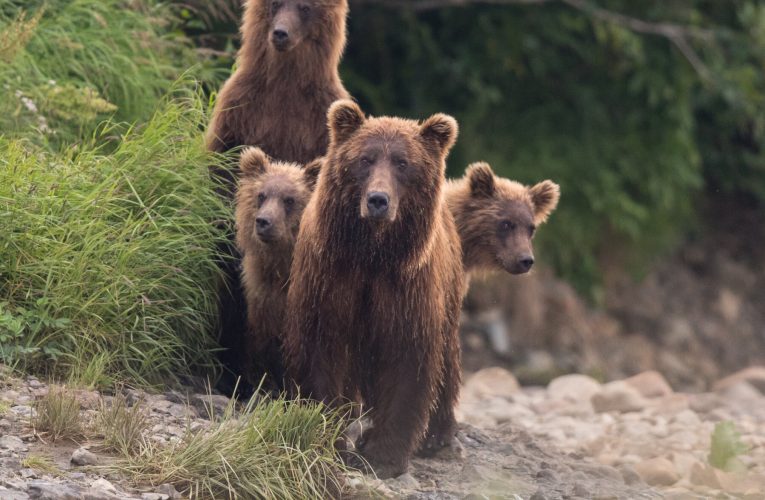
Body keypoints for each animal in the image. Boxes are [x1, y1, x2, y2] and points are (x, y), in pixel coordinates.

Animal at [284, 100, 465, 479]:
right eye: (365, 159)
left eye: (403, 163)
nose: (378, 200)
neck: (372, 253)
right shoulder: (331, 278)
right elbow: (320, 352)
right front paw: (329, 437)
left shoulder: (406, 287)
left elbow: (407, 359)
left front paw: (383, 456)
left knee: (447, 356)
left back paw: (437, 434)